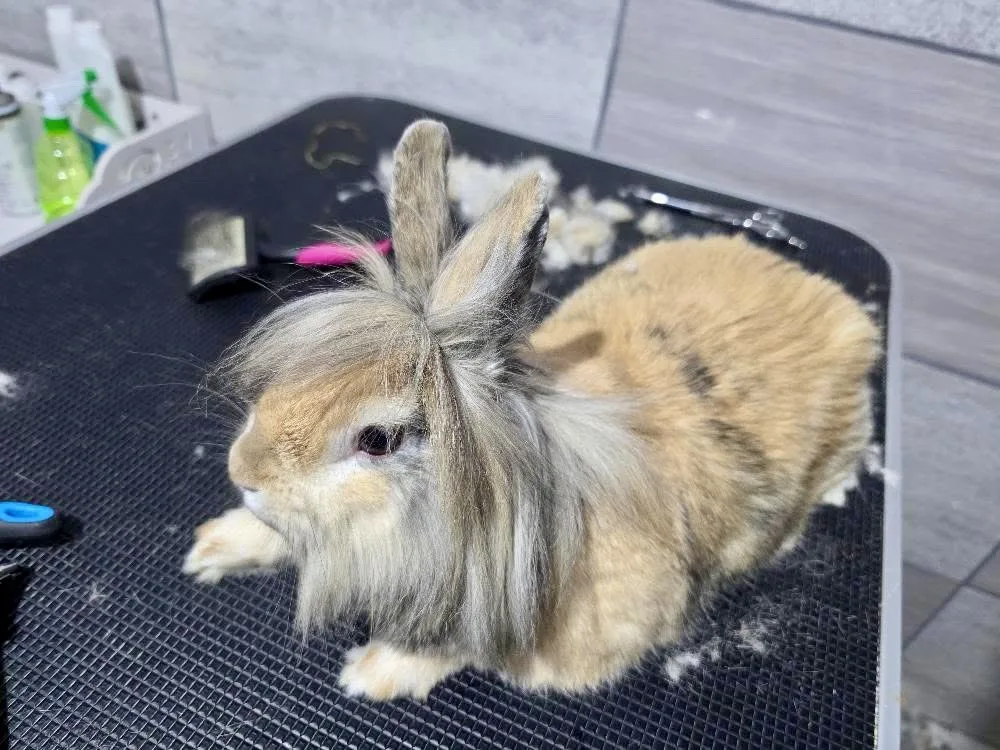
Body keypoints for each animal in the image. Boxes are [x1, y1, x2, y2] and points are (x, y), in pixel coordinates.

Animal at [182, 119, 879, 701]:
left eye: (376, 440)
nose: (243, 473)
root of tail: (832, 298)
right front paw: (213, 543)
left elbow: (477, 646)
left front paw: (375, 671)